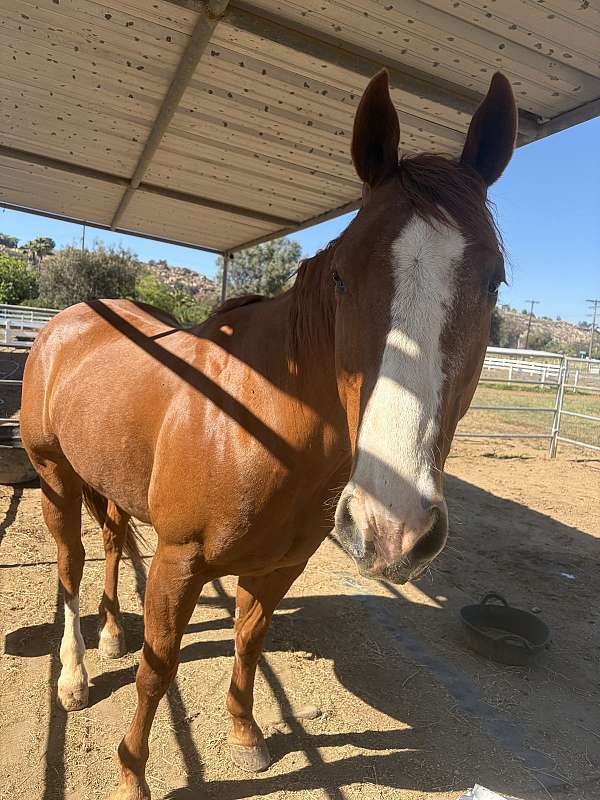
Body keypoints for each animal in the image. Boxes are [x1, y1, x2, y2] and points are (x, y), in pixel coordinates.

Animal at [20, 69, 516, 799]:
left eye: (494, 282)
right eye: (342, 276)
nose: (391, 529)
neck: (262, 425)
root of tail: (66, 322)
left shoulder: (282, 566)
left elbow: (249, 642)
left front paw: (247, 735)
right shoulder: (178, 562)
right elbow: (157, 671)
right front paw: (132, 772)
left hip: (105, 479)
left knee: (110, 544)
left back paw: (109, 634)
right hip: (55, 475)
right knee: (70, 565)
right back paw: (75, 677)